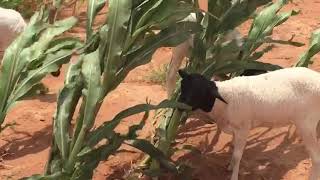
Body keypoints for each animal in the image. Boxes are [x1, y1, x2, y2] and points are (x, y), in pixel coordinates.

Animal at [179, 67, 320, 180]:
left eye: (199, 92)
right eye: (182, 86)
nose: (179, 105)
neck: (224, 102)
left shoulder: (243, 129)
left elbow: (237, 156)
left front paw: (233, 176)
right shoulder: (235, 129)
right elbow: (233, 149)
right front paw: (230, 166)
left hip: (306, 125)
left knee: (316, 157)